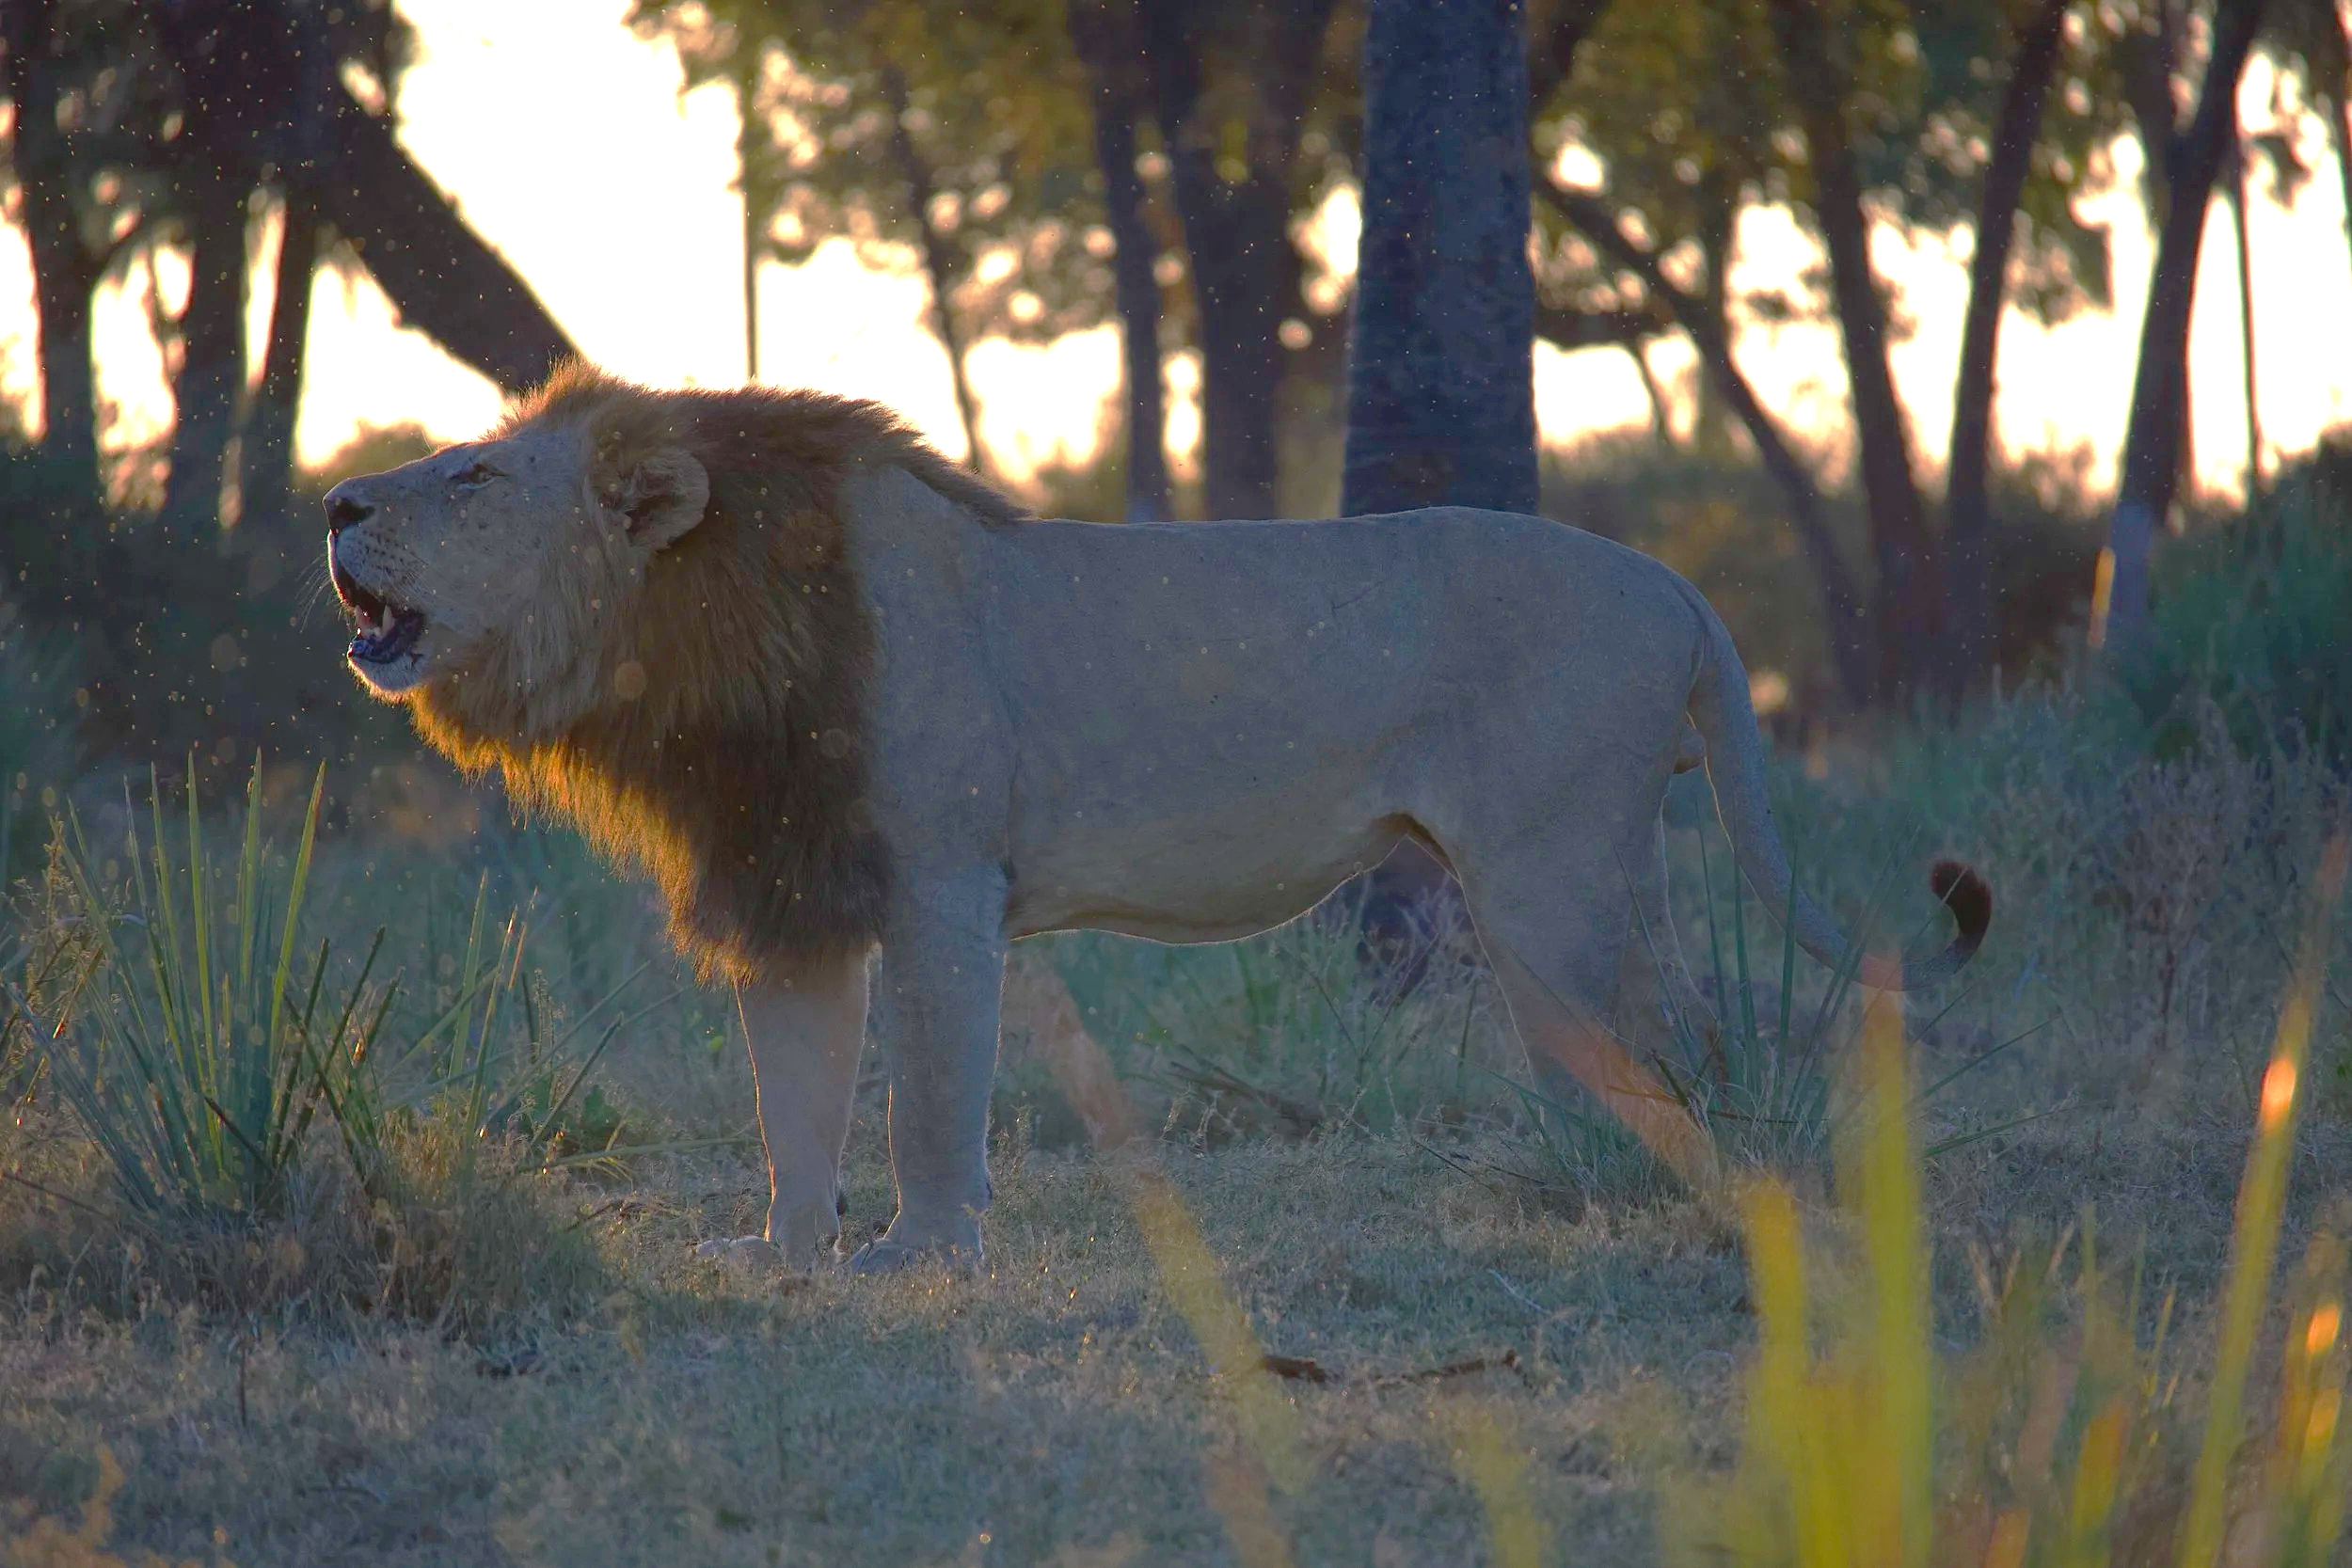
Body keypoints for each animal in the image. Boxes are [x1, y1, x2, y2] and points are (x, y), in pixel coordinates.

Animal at [322, 361, 1989, 1271]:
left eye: (472, 475)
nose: (333, 502)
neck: (694, 636)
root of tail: (1681, 590)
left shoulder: (936, 883)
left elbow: (927, 1095)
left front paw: (923, 1254)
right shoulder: (792, 878)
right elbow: (792, 1100)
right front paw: (785, 1255)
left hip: (1553, 877)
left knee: (1682, 1031)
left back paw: (1690, 1186)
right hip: (1546, 891)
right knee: (1640, 1040)